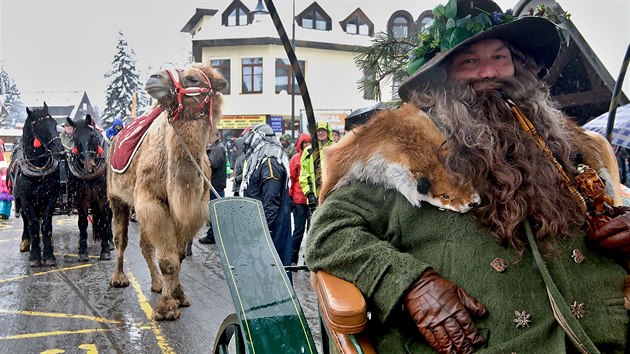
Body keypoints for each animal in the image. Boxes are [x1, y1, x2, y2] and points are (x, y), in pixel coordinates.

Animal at [11, 103, 65, 266]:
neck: (38, 168)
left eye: (54, 124)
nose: (60, 151)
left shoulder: (50, 197)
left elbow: (46, 224)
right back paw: (25, 241)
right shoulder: (26, 199)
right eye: (40, 127)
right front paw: (35, 256)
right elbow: (33, 224)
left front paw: (49, 255)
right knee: (26, 220)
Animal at [66, 115, 113, 262]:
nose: (88, 165)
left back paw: (111, 242)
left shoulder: (104, 197)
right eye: (75, 138)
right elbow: (82, 222)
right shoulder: (80, 198)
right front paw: (82, 251)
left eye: (92, 135)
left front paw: (105, 250)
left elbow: (104, 220)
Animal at [108, 64, 227, 320]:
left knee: (145, 244)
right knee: (121, 239)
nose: (154, 78)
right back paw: (119, 278)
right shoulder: (152, 201)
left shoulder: (191, 211)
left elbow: (179, 256)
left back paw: (156, 283)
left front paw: (178, 295)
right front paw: (166, 308)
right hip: (117, 197)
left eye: (192, 78)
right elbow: (167, 259)